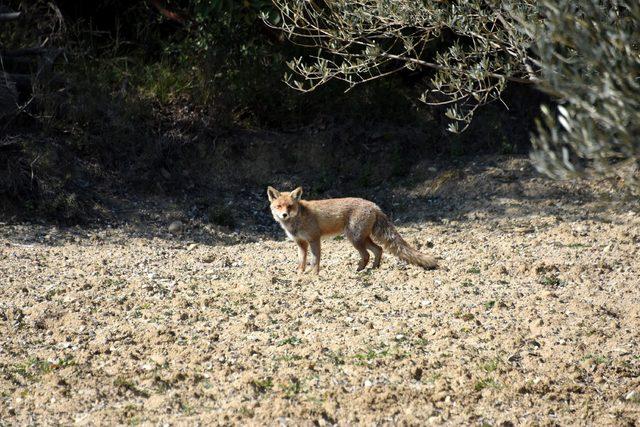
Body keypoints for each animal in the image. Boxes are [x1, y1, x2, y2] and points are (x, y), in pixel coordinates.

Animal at [266, 186, 440, 274]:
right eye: (279, 206)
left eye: (290, 206)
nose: (284, 214)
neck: (297, 221)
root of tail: (373, 205)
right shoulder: (301, 243)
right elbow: (301, 261)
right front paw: (300, 274)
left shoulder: (314, 239)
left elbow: (315, 260)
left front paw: (314, 275)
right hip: (362, 238)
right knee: (378, 249)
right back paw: (374, 268)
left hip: (354, 239)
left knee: (367, 254)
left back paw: (359, 270)